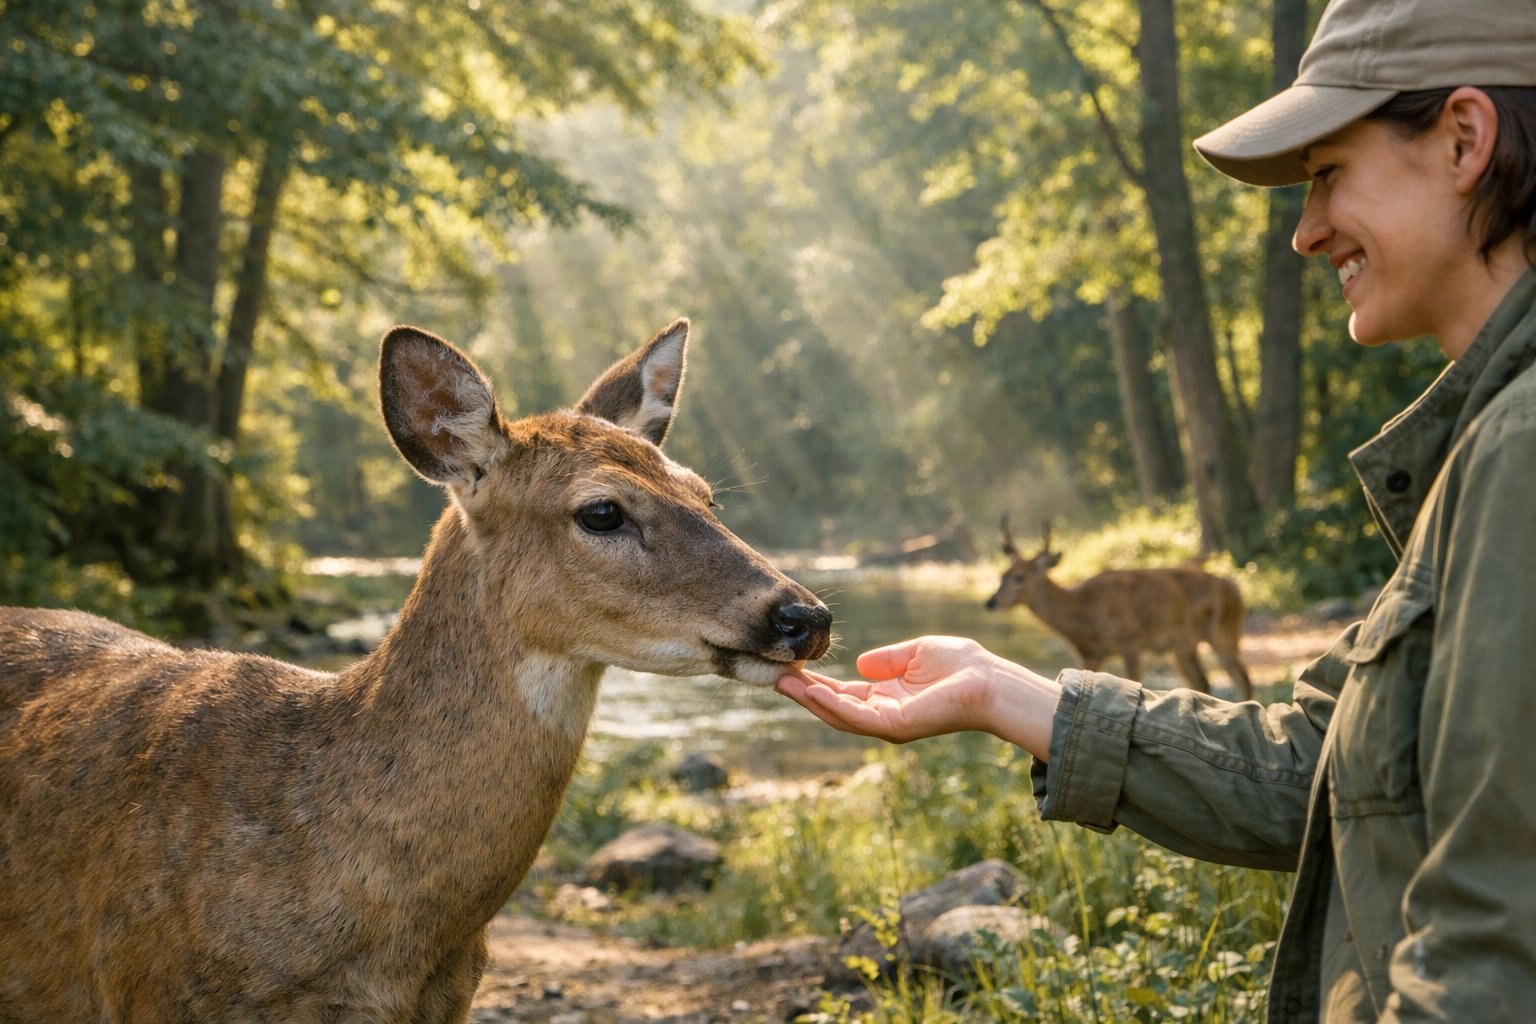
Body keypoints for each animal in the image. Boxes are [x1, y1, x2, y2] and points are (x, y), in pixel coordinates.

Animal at [985, 518, 1252, 699]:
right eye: (1002, 574)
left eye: (1019, 577)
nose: (991, 602)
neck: (1082, 612)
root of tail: (1234, 587)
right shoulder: (1089, 654)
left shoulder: (1131, 640)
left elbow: (1135, 682)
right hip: (1183, 647)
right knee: (1203, 683)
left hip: (1224, 631)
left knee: (1243, 679)